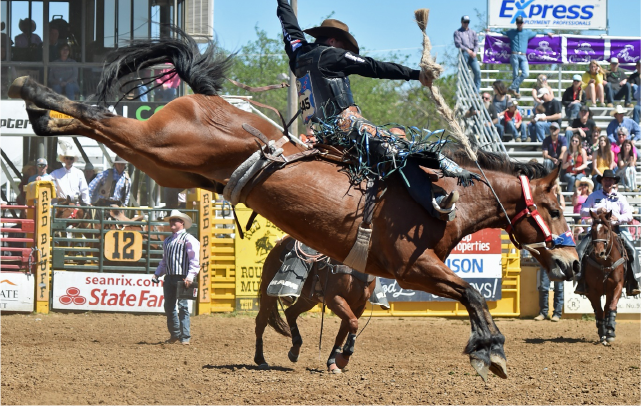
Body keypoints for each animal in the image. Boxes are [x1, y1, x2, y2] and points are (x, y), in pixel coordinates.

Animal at [254, 235, 378, 374]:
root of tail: (278, 244)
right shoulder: (334, 299)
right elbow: (353, 323)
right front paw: (343, 358)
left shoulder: (359, 306)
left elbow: (343, 331)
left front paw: (332, 362)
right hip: (268, 291)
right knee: (261, 322)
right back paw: (260, 360)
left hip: (309, 300)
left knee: (290, 312)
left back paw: (295, 350)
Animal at [584, 211, 624, 344]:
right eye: (592, 230)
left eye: (606, 230)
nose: (599, 253)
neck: (605, 264)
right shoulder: (592, 290)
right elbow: (600, 311)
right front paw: (602, 333)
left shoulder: (617, 286)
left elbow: (611, 307)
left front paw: (610, 331)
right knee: (598, 310)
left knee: (607, 307)